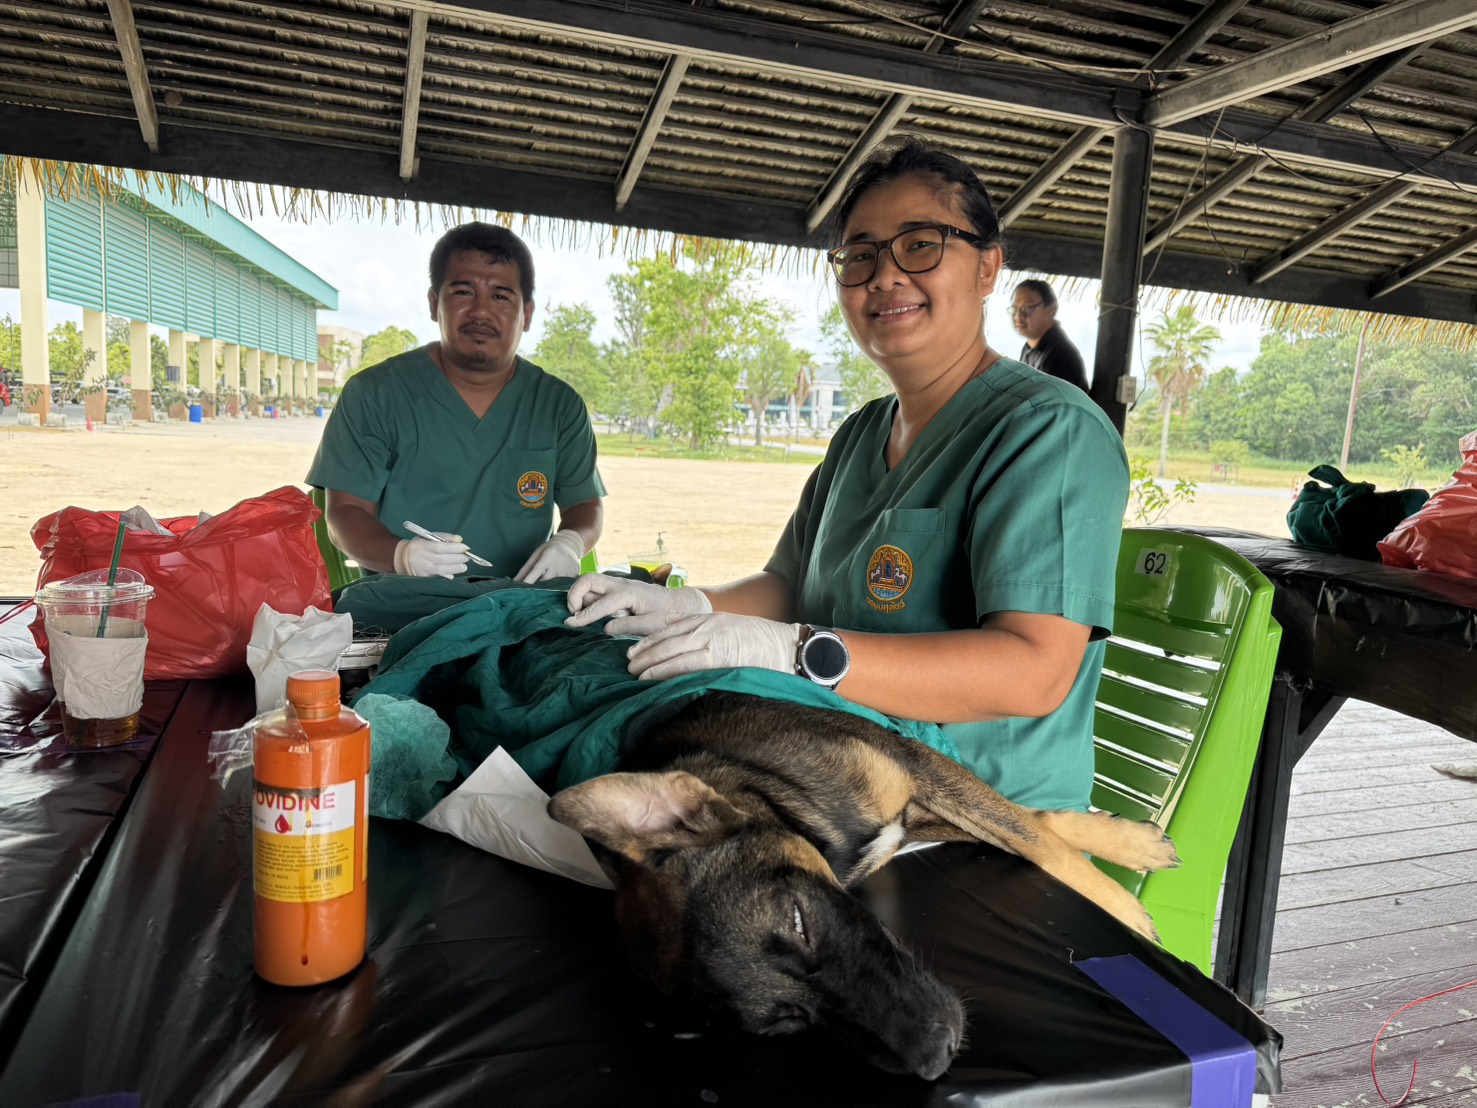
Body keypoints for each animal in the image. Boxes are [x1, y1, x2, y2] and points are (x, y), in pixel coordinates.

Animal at [547, 691, 1178, 1081]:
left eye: (799, 920)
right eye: (786, 1022)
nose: (936, 1058)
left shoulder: (911, 766)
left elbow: (1034, 833)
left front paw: (1124, 885)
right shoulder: (910, 808)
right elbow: (1030, 831)